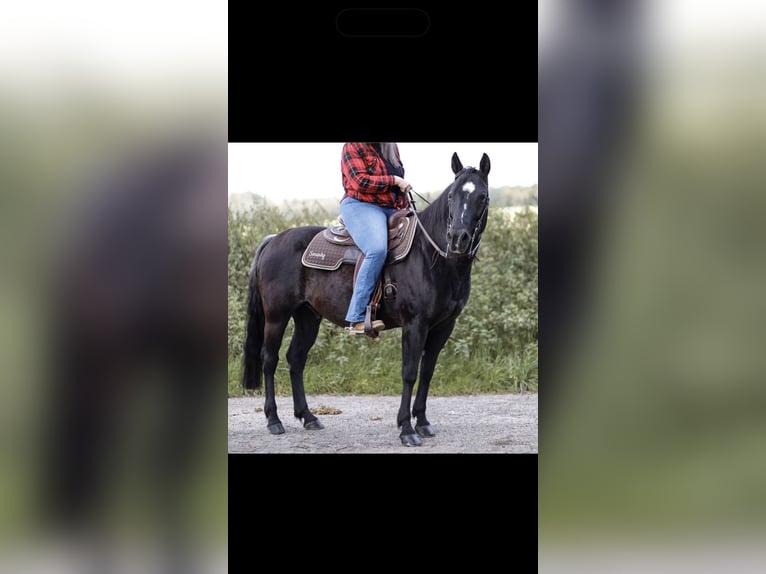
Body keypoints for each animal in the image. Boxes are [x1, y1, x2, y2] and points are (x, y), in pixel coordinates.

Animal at [242, 151, 490, 446]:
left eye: (483, 197)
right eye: (452, 195)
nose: (458, 238)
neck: (430, 255)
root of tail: (273, 239)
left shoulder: (443, 326)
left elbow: (427, 372)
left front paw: (423, 422)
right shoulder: (414, 324)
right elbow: (409, 372)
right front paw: (406, 429)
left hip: (308, 316)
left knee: (296, 358)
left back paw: (309, 417)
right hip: (276, 315)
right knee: (269, 359)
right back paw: (274, 420)